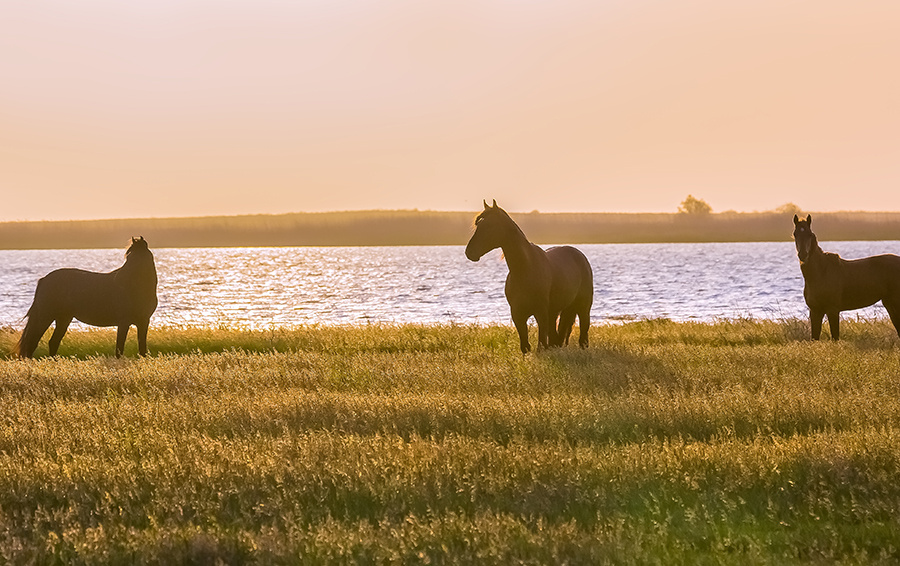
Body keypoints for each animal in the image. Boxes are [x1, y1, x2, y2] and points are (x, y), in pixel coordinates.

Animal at [15, 237, 158, 358]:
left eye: (137, 257)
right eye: (128, 257)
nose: (119, 278)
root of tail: (44, 279)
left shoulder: (144, 322)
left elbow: (142, 348)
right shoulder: (124, 322)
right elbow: (119, 348)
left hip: (63, 318)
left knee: (53, 342)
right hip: (45, 316)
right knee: (32, 342)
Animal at [468, 201, 596, 356]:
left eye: (489, 225)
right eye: (478, 225)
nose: (469, 252)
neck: (525, 269)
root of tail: (580, 255)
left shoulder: (540, 312)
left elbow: (541, 345)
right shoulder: (517, 314)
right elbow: (525, 346)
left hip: (583, 307)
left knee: (583, 335)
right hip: (555, 311)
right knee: (556, 337)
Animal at [792, 214, 900, 342]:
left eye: (809, 234)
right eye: (795, 234)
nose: (803, 255)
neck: (821, 272)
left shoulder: (833, 310)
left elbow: (835, 337)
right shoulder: (815, 311)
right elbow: (815, 337)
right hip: (889, 303)